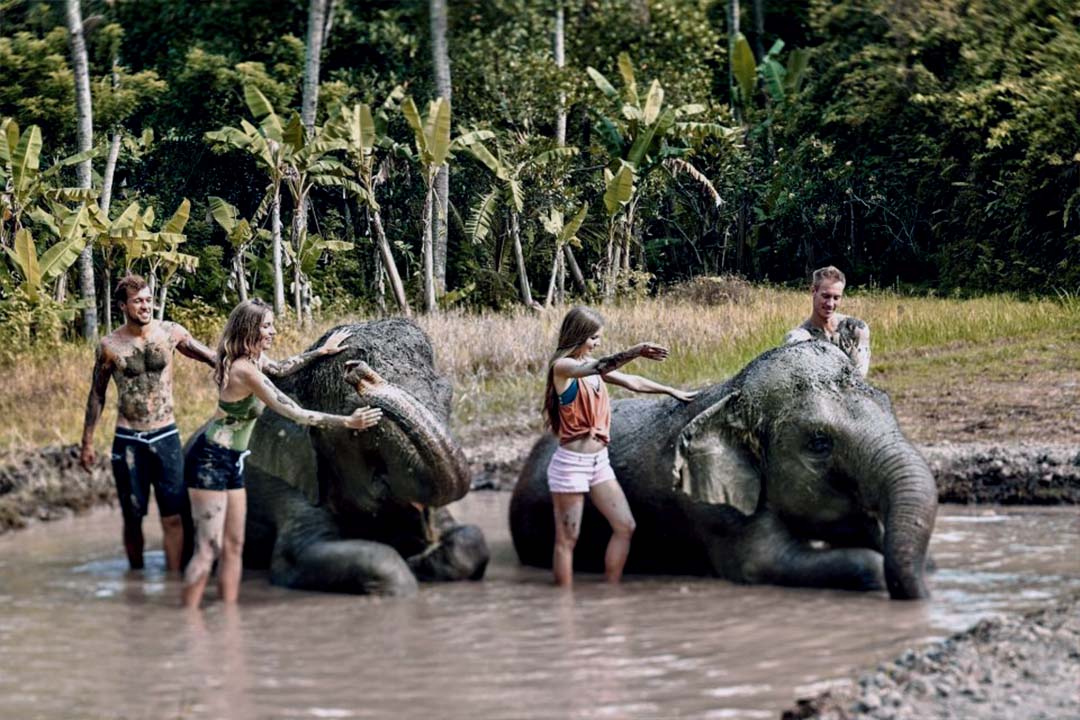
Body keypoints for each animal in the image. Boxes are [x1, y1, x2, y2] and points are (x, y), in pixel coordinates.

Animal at [510, 340, 937, 599]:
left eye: (889, 404)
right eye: (819, 443)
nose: (925, 598)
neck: (732, 396)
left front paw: (927, 565)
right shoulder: (712, 509)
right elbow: (761, 562)